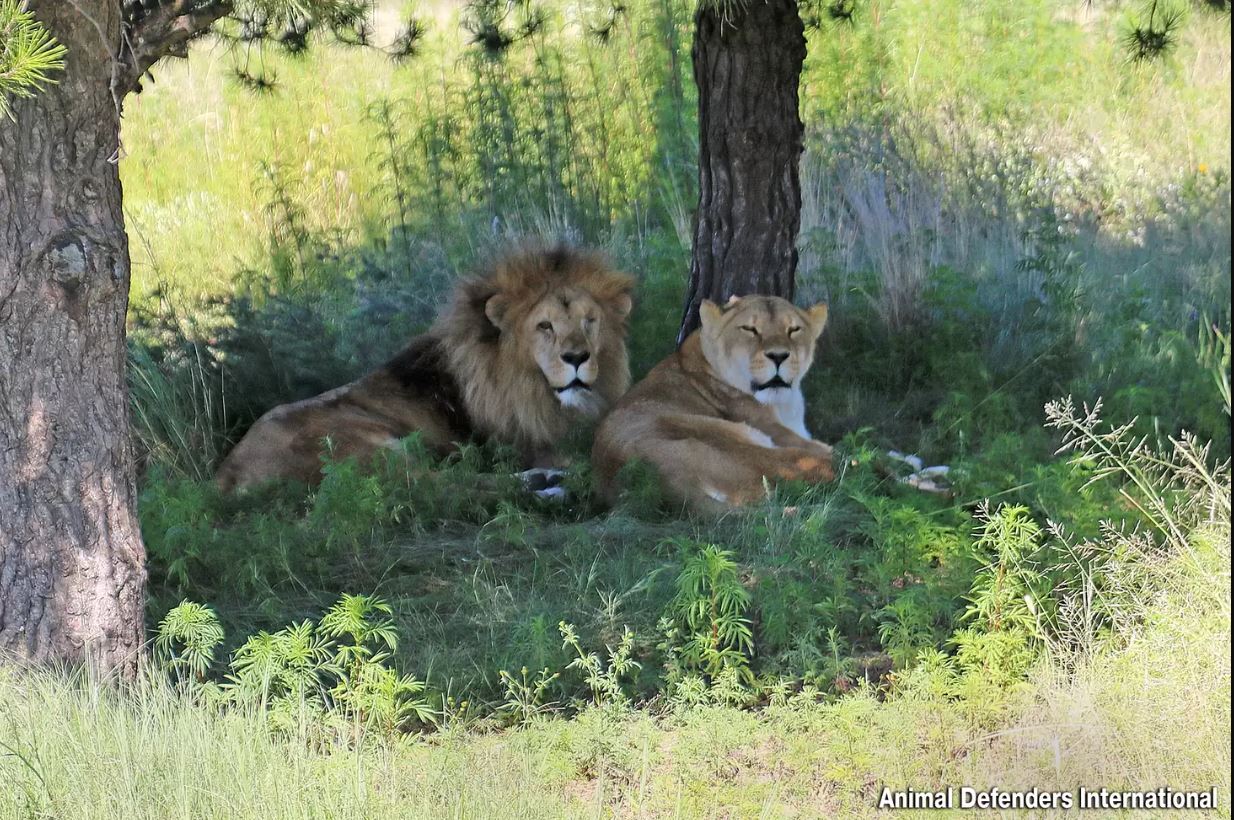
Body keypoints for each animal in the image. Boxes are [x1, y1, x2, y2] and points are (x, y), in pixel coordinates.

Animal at [213, 240, 631, 488]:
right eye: (545, 326)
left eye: (589, 321)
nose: (577, 358)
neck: (527, 383)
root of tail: (224, 480)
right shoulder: (529, 441)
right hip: (371, 446)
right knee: (447, 484)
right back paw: (544, 483)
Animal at [592, 294, 834, 512]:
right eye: (750, 329)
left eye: (794, 330)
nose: (778, 356)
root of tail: (666, 484)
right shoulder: (776, 432)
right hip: (734, 437)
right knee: (819, 465)